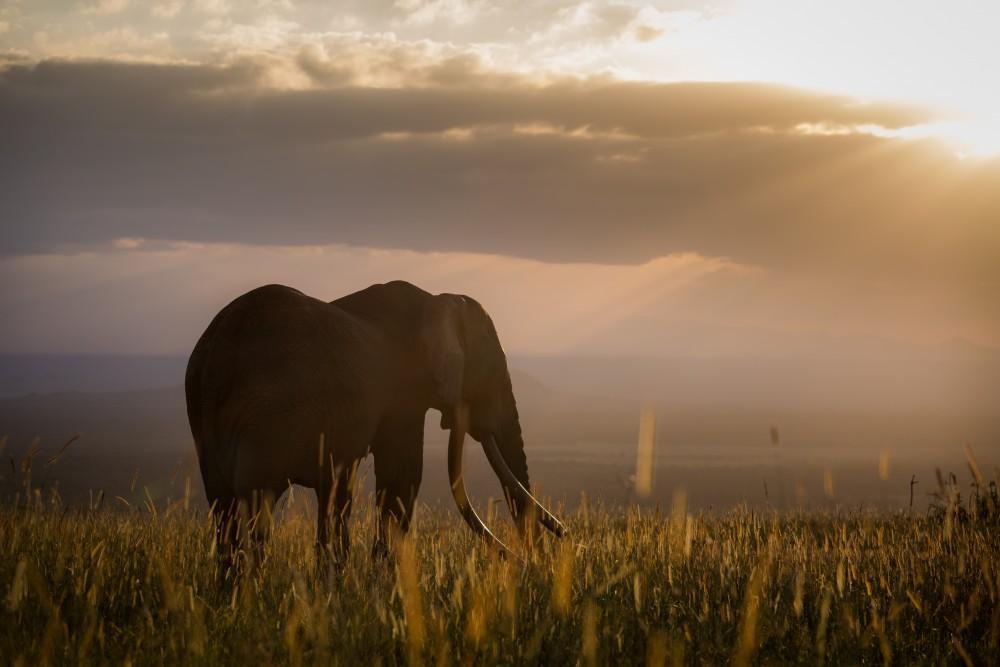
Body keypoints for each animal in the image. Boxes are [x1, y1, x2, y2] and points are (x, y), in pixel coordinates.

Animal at [187, 280, 564, 568]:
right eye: (493, 372)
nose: (562, 533)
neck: (437, 299)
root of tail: (214, 357)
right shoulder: (403, 395)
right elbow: (401, 479)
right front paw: (382, 574)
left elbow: (350, 485)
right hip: (265, 416)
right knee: (256, 508)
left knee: (225, 511)